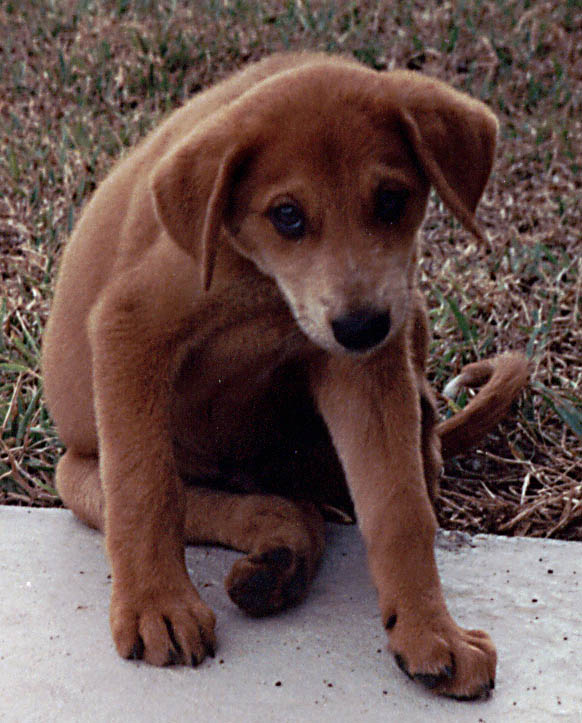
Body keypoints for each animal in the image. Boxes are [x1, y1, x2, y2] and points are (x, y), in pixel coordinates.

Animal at [43, 55, 532, 700]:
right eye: (287, 215)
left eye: (392, 200)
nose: (362, 326)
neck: (263, 284)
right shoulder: (129, 327)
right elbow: (146, 490)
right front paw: (157, 606)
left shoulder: (367, 368)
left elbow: (399, 508)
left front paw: (430, 631)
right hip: (77, 470)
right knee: (186, 494)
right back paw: (275, 550)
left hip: (411, 314)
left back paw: (283, 556)